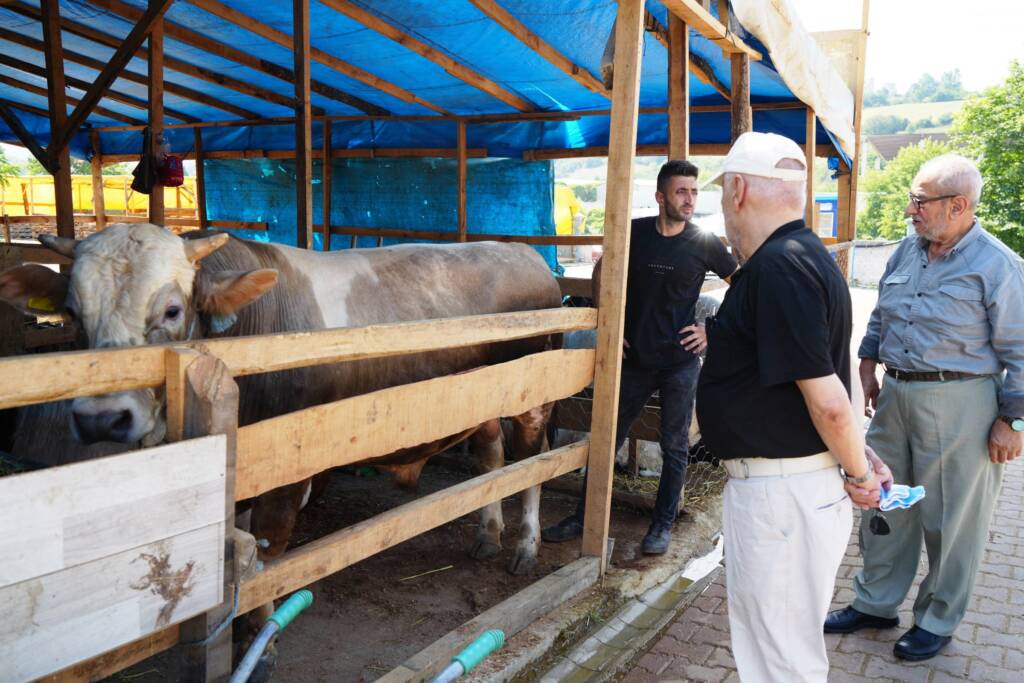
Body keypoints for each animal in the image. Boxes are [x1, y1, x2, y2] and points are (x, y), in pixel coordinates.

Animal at [0, 225, 561, 589]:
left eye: (173, 310)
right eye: (72, 313)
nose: (101, 418)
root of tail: (527, 257)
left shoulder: (289, 474)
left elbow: (266, 561)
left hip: (534, 399)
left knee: (534, 465)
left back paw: (525, 547)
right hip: (484, 396)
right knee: (491, 459)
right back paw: (488, 535)